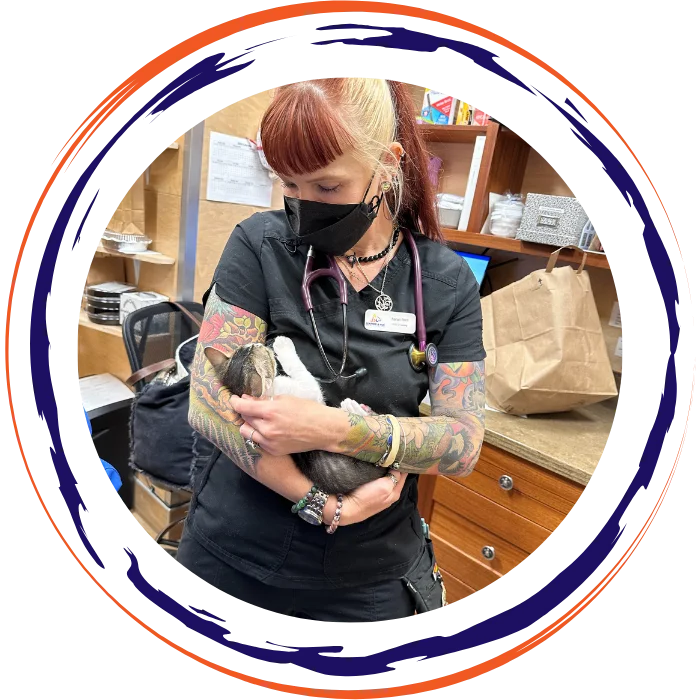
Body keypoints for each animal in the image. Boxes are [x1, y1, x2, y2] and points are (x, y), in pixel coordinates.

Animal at [202, 336, 388, 494]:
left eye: (248, 347)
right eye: (263, 352)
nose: (260, 343)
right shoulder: (309, 391)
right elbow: (300, 371)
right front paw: (283, 345)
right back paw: (354, 407)